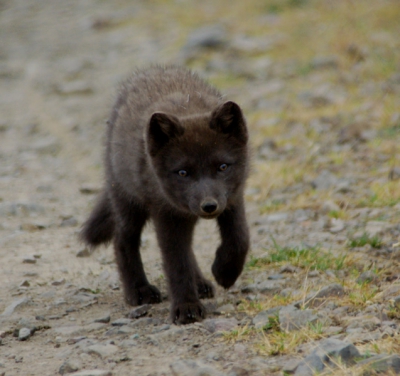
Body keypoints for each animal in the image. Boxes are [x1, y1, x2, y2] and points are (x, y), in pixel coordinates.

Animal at [80, 65, 250, 324]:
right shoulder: (166, 214)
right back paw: (139, 291)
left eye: (222, 167)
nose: (209, 206)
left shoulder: (232, 198)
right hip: (128, 202)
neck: (187, 108)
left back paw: (200, 283)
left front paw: (225, 272)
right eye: (183, 172)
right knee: (122, 240)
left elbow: (240, 239)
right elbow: (176, 262)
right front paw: (187, 307)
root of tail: (148, 71)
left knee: (189, 247)